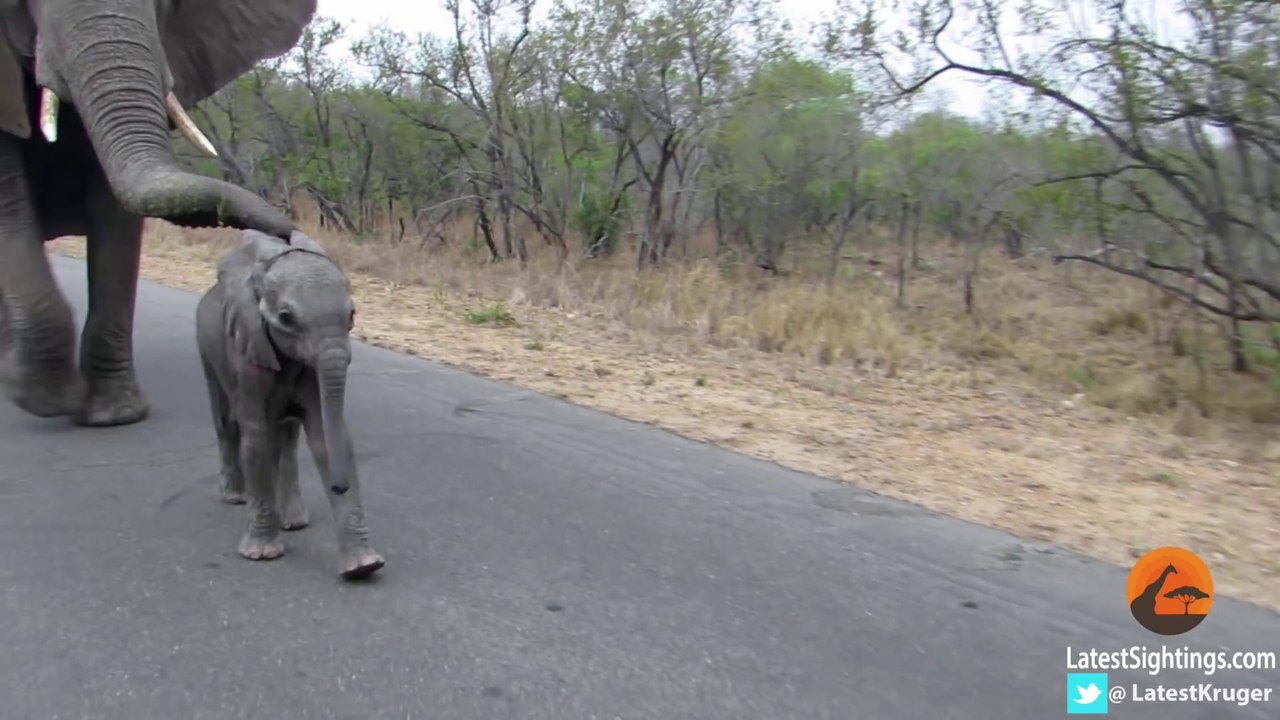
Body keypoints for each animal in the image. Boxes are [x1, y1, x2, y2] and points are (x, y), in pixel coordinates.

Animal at [0, 0, 319, 427]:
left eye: (165, 5)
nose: (290, 234)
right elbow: (8, 206)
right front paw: (50, 400)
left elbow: (114, 213)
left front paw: (114, 414)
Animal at [195, 229, 384, 580]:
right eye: (286, 318)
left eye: (352, 316)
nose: (339, 486)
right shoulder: (248, 350)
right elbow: (255, 437)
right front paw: (262, 555)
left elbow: (326, 438)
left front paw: (363, 567)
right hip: (206, 347)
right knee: (226, 421)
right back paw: (236, 497)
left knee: (286, 436)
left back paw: (293, 522)